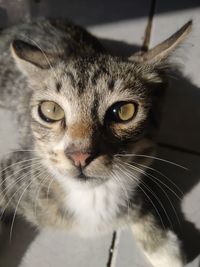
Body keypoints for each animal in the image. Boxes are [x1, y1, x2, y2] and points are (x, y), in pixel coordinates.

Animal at [0, 17, 192, 266]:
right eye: (51, 110)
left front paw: (161, 245)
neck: (92, 197)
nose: (79, 155)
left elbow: (140, 203)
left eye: (123, 111)